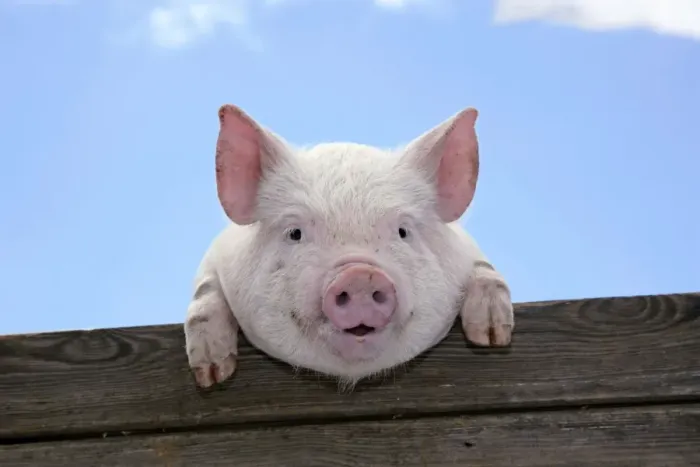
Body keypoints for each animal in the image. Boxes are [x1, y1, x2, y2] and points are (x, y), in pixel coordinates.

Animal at [184, 104, 514, 388]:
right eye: (295, 233)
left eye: (403, 231)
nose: (360, 275)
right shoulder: (216, 255)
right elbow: (204, 294)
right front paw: (213, 375)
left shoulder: (468, 249)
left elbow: (485, 270)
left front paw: (491, 337)